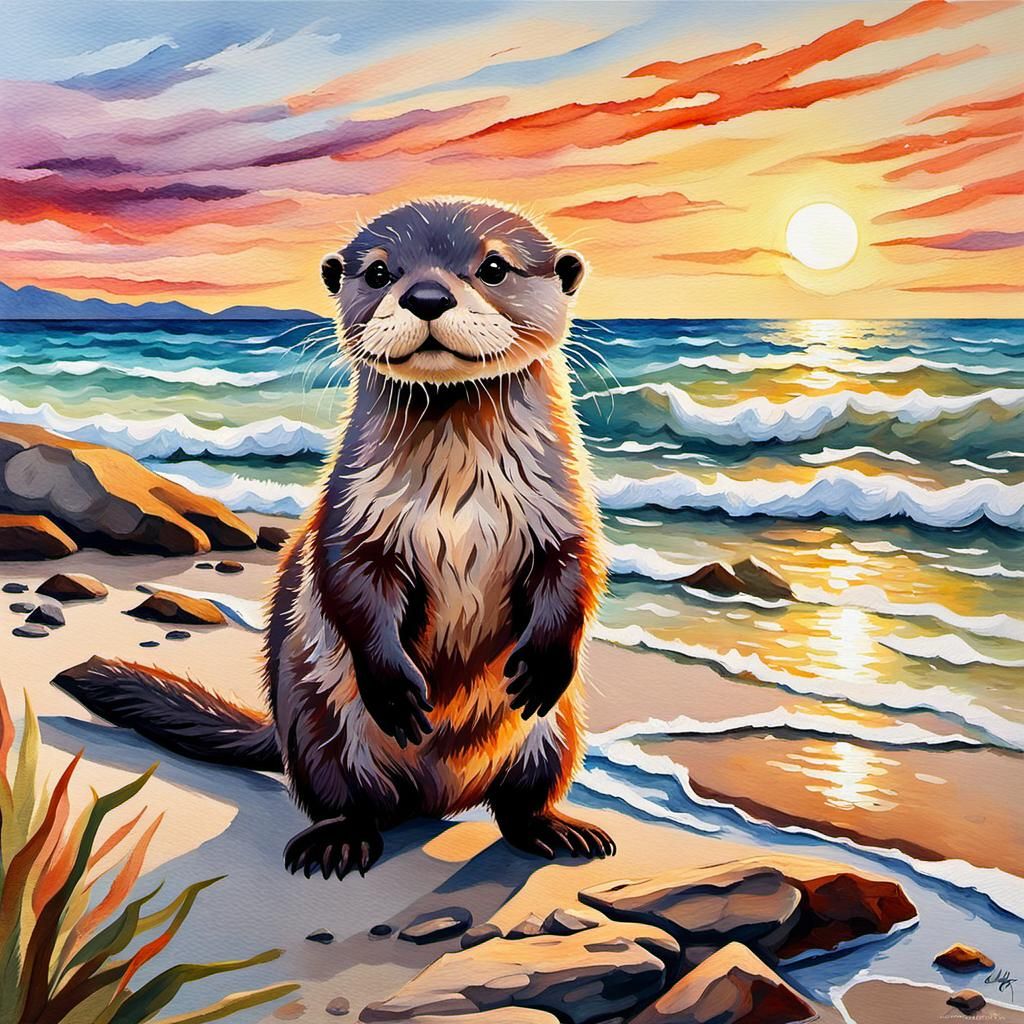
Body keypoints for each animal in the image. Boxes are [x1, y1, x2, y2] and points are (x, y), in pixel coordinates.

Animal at [53, 198, 613, 880]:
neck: (460, 498)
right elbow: (349, 583)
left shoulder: (563, 511)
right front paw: (395, 691)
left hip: (554, 735)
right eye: (377, 272)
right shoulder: (351, 516)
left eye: (494, 266)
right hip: (321, 724)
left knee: (520, 801)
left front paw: (544, 664)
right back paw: (338, 841)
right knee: (344, 798)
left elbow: (576, 573)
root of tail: (440, 798)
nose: (427, 296)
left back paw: (558, 830)